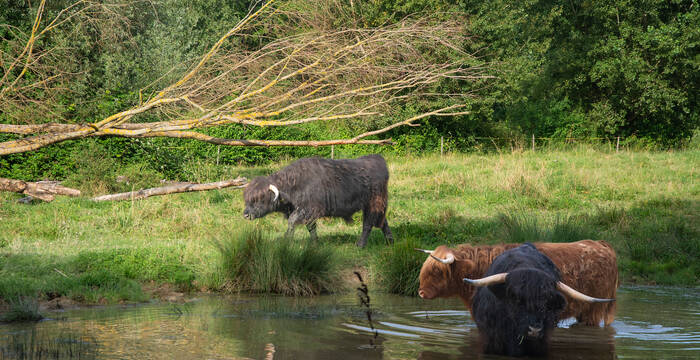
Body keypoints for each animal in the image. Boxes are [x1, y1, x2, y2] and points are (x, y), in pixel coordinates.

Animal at [243, 153, 392, 246]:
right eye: (247, 199)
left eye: (259, 199)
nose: (245, 215)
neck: (293, 184)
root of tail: (378, 159)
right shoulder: (308, 213)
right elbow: (311, 228)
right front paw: (315, 243)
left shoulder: (308, 209)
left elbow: (292, 221)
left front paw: (286, 240)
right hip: (377, 207)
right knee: (383, 222)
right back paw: (390, 241)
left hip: (372, 204)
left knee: (368, 224)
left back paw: (360, 245)